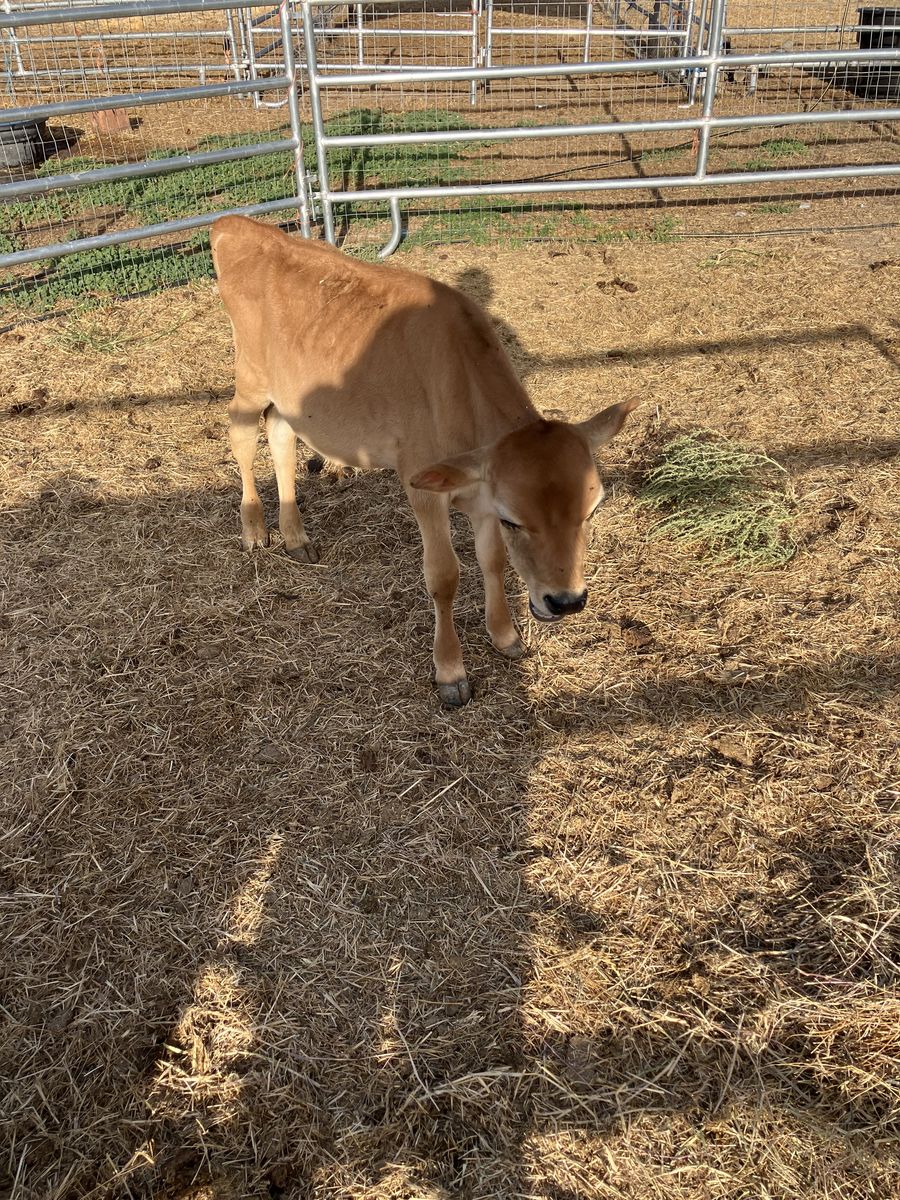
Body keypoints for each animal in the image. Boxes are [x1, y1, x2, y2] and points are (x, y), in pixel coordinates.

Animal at [210, 215, 637, 706]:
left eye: (591, 511)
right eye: (514, 520)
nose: (565, 601)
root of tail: (235, 225)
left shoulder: (480, 491)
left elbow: (492, 560)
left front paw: (505, 635)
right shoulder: (424, 487)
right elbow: (444, 575)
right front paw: (450, 671)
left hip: (291, 395)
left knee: (280, 433)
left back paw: (296, 536)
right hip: (251, 375)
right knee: (241, 434)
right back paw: (254, 528)